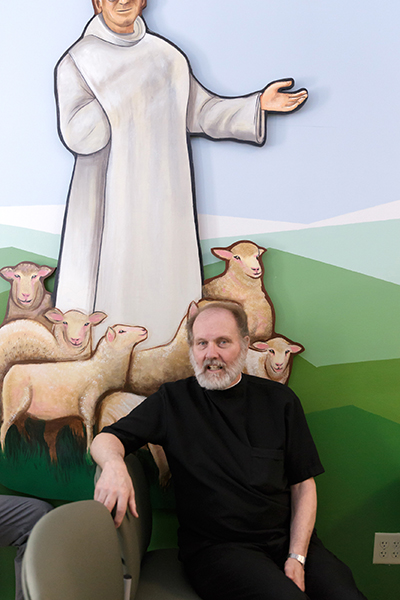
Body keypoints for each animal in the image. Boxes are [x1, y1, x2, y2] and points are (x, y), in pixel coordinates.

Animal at [0, 324, 148, 450]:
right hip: (14, 404)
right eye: (122, 331)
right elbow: (89, 424)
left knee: (19, 424)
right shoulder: (88, 401)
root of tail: (12, 368)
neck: (102, 367)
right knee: (4, 427)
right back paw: (5, 453)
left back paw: (27, 441)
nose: (144, 330)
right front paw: (88, 451)